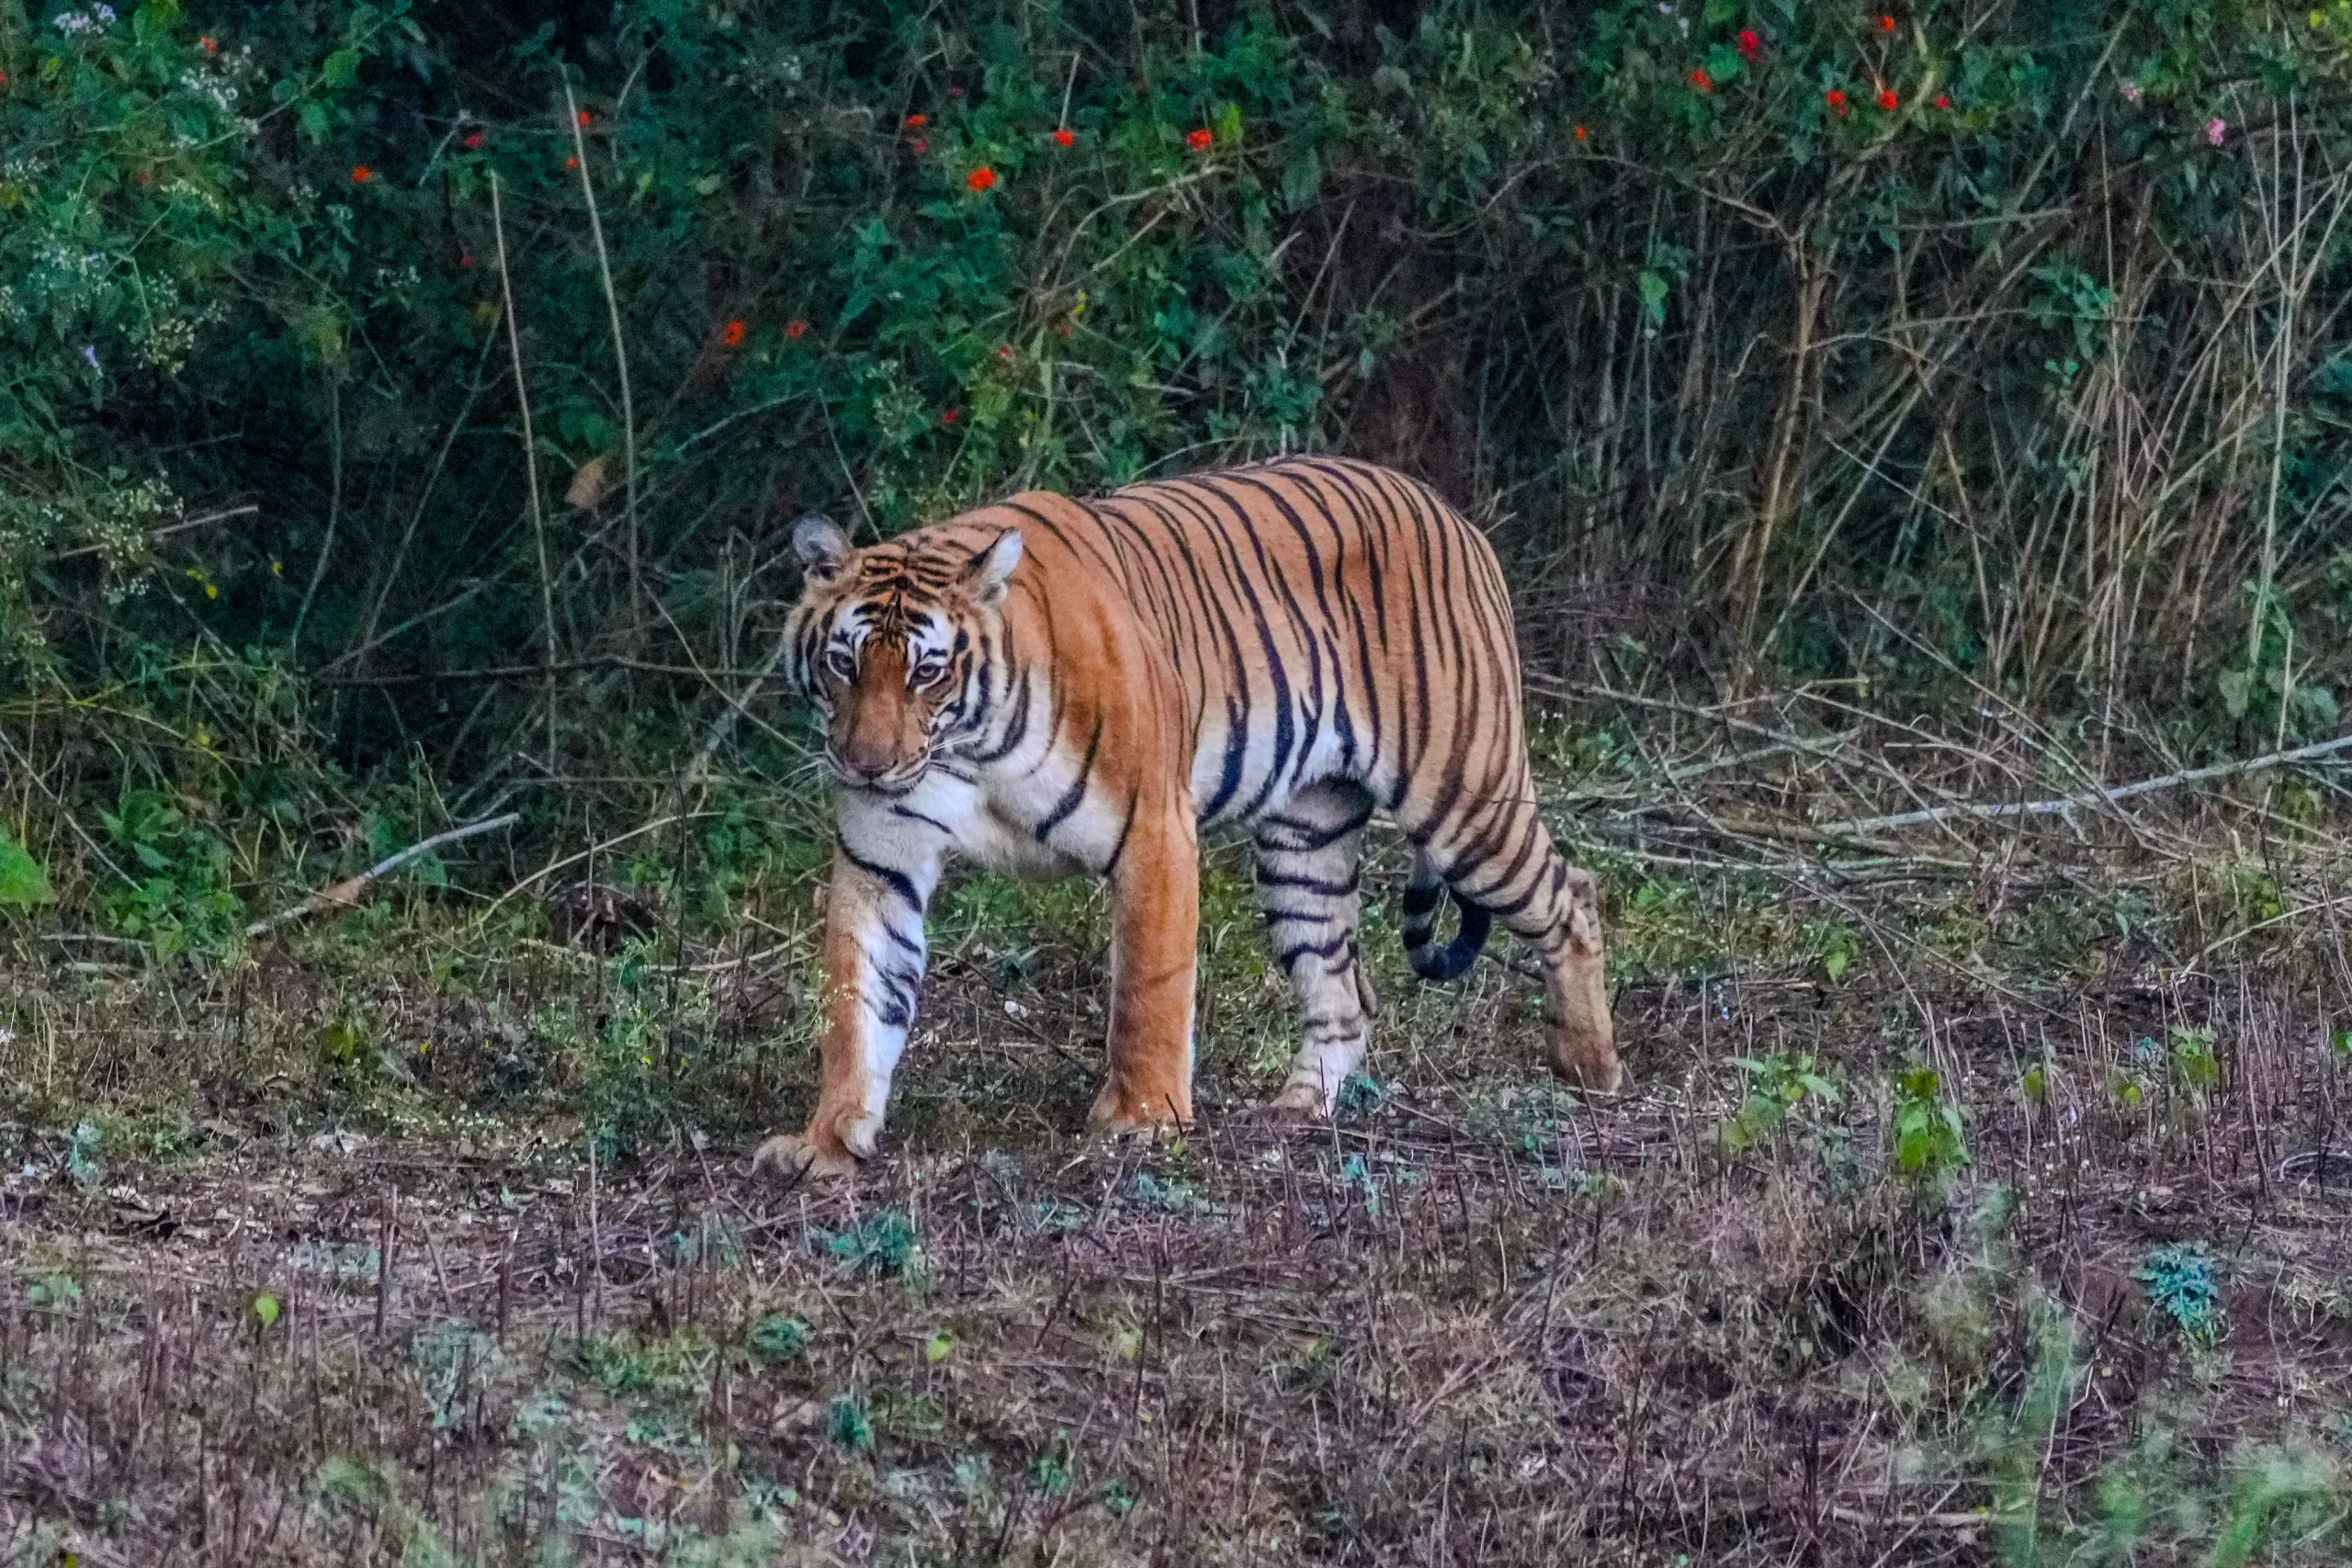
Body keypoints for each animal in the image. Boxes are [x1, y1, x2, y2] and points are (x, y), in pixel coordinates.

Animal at [752, 455, 1621, 1180]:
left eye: (927, 673)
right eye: (843, 663)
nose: (866, 765)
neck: (966, 745)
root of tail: (1451, 513)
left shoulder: (1153, 831)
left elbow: (1149, 988)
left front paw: (1143, 1120)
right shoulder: (882, 858)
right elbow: (858, 1002)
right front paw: (828, 1140)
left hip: (1464, 796)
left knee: (1572, 896)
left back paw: (1590, 1066)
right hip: (1304, 842)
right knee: (1345, 988)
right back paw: (1296, 1110)